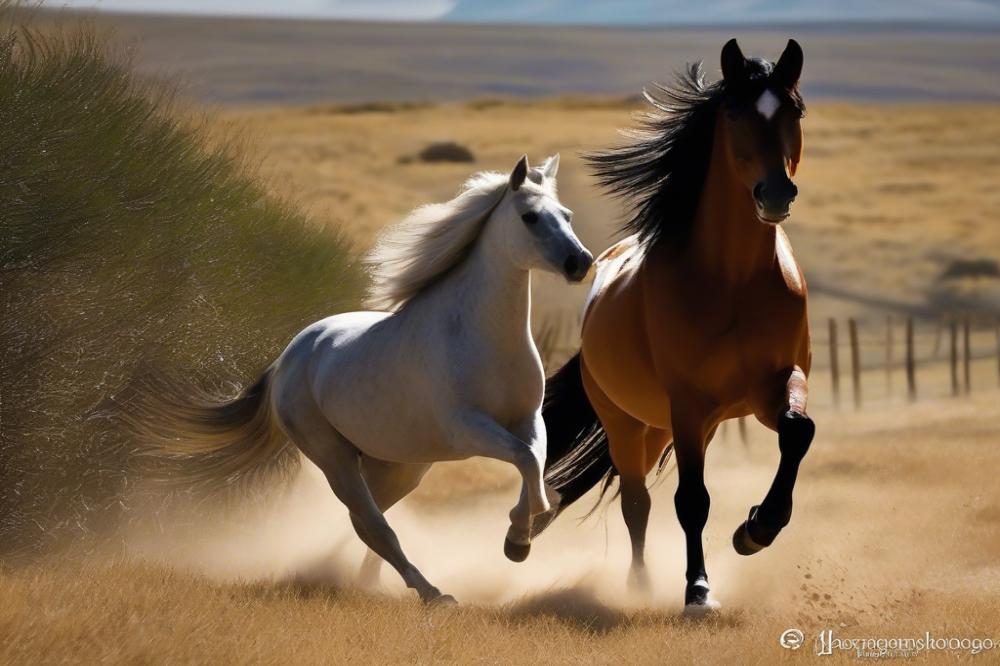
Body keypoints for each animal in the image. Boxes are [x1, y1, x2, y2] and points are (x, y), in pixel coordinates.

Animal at [136, 156, 588, 600]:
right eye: (530, 217)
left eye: (566, 215)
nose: (580, 263)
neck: (480, 334)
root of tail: (290, 356)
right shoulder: (467, 428)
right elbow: (526, 459)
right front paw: (527, 526)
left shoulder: (527, 418)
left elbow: (535, 458)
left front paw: (519, 538)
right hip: (334, 458)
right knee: (373, 523)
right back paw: (429, 592)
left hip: (400, 465)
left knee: (366, 521)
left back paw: (371, 579)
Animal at [532, 40, 812, 612]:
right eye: (734, 114)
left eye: (795, 112)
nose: (775, 194)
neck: (733, 282)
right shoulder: (689, 404)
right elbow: (692, 500)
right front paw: (698, 591)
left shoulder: (771, 387)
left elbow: (799, 432)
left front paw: (756, 530)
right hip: (629, 423)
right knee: (636, 501)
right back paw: (638, 584)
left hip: (665, 427)